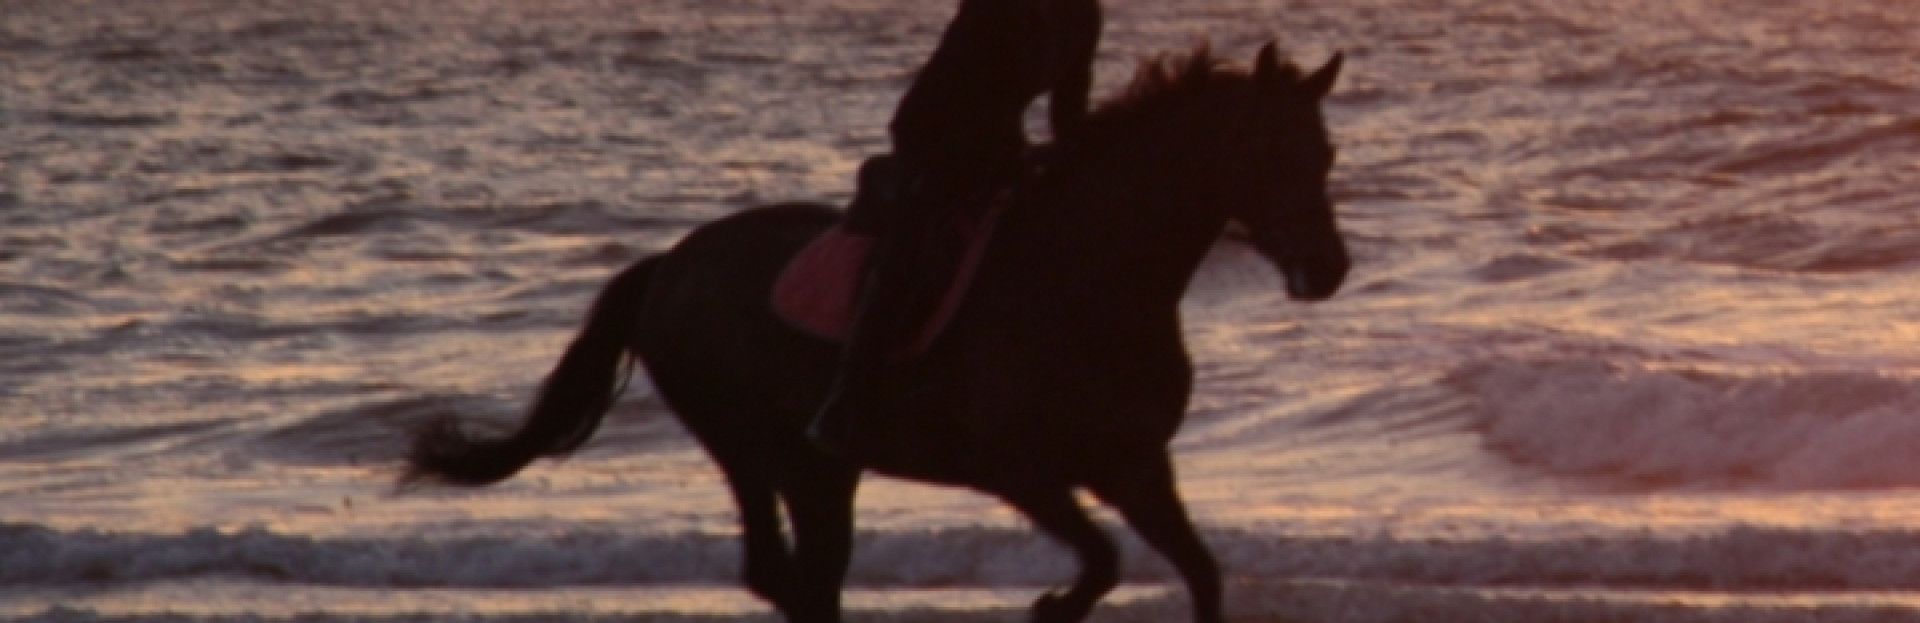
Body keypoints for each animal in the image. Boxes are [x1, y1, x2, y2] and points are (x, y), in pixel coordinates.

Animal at [410, 44, 1351, 623]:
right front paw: (1053, 604)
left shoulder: (1135, 465)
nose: (1329, 270)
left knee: (808, 574)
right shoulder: (1020, 472)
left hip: (821, 468)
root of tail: (669, 263)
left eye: (1327, 153)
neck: (1088, 279)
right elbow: (1105, 561)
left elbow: (1200, 571)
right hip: (751, 442)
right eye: (1274, 153)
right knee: (781, 571)